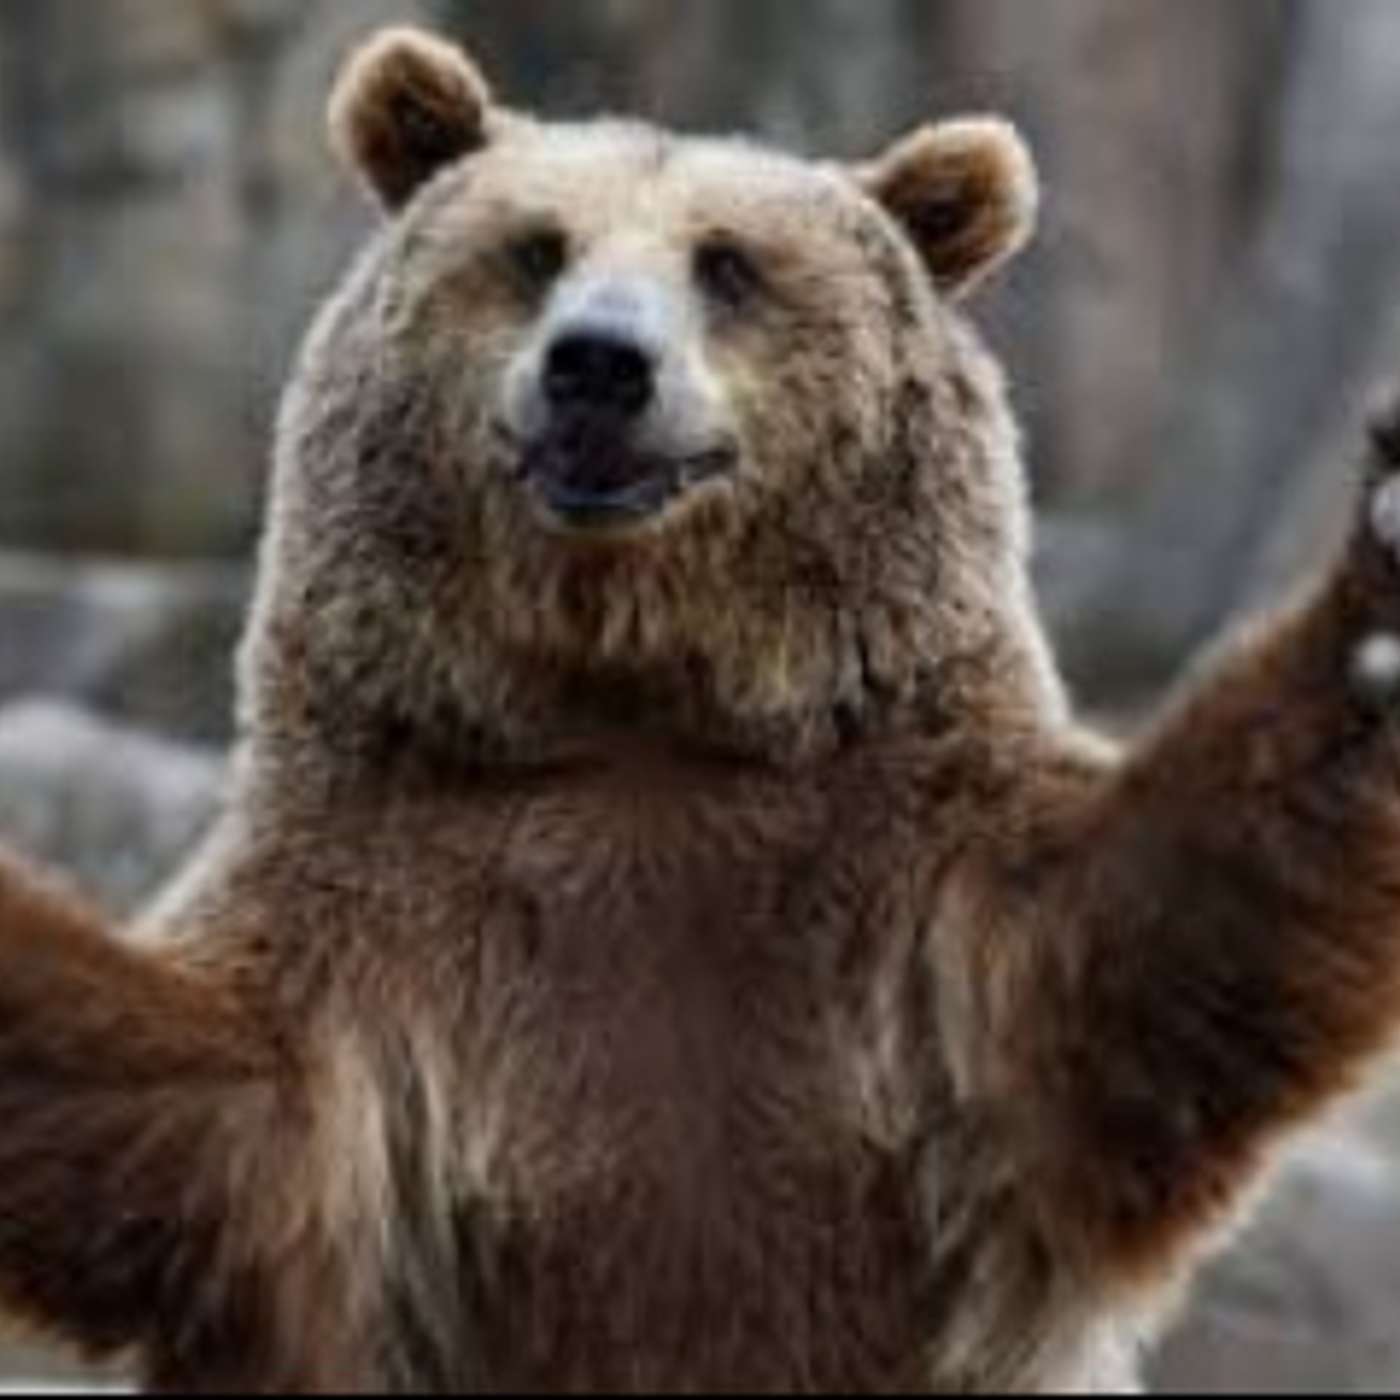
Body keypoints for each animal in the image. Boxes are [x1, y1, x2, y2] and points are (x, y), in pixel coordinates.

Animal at [6, 23, 1400, 1393]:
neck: (633, 704)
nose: (597, 364)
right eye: (537, 247)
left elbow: (1149, 935)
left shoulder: (909, 894)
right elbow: (193, 1100)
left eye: (726, 263)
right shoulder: (384, 921)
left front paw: (1380, 572)